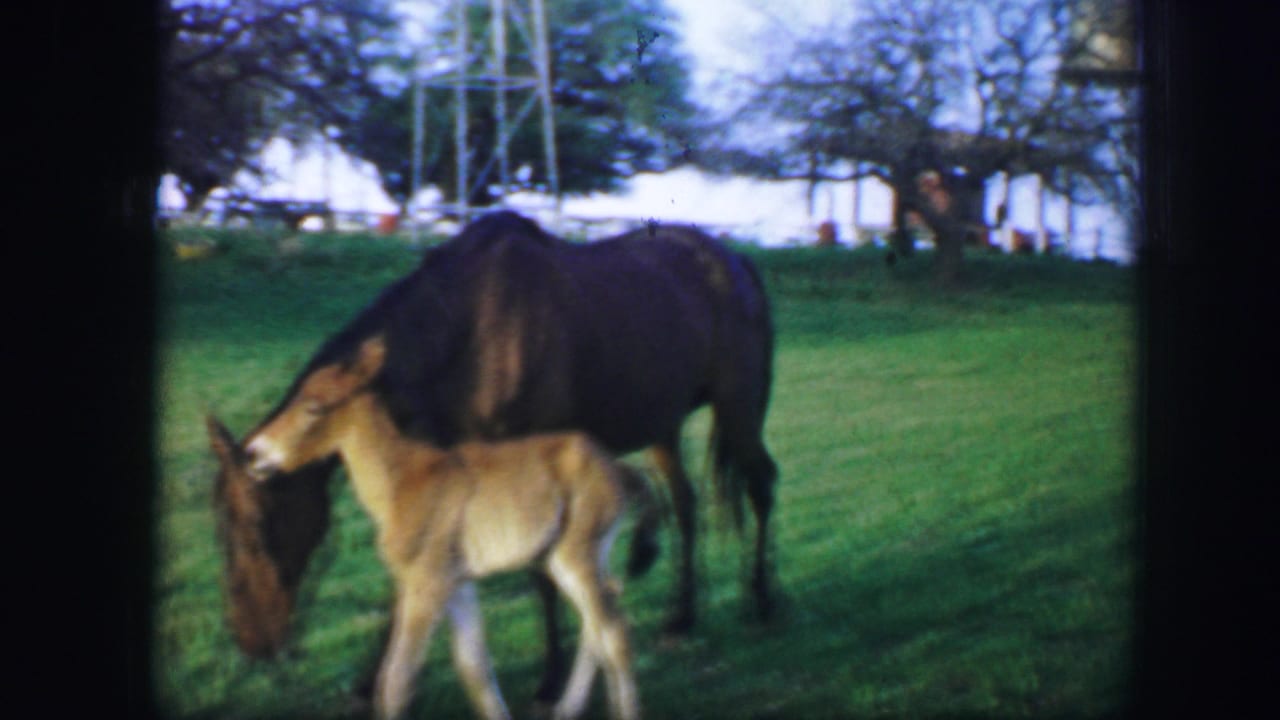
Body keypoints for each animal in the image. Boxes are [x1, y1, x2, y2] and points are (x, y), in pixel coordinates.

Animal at [224, 334, 656, 720]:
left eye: (314, 407)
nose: (254, 453)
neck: (399, 483)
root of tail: (620, 470)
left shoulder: (426, 582)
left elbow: (395, 682)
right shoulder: (457, 582)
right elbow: (474, 669)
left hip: (576, 553)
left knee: (616, 632)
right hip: (560, 556)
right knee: (601, 615)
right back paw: (567, 707)